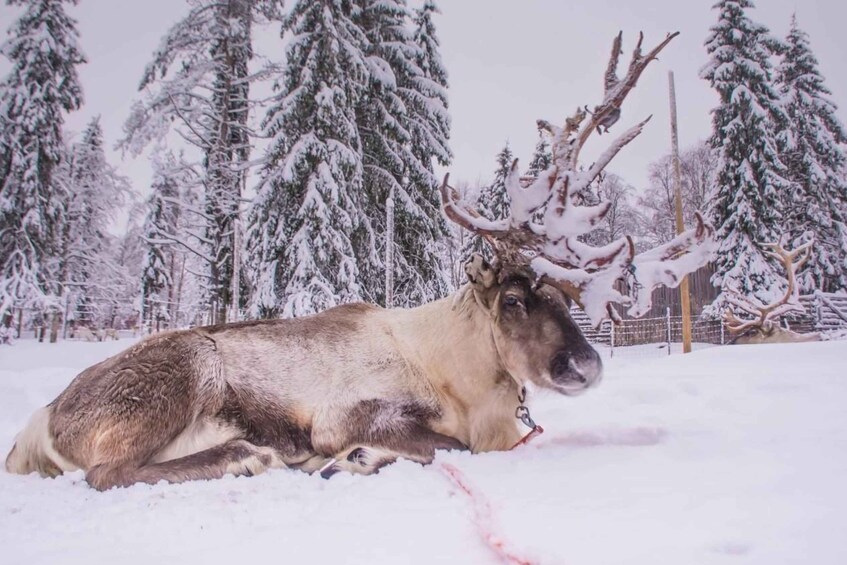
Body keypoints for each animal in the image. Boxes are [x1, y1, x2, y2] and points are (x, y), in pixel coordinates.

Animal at [5, 32, 715, 490]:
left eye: (567, 298)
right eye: (514, 299)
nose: (586, 365)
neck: (461, 380)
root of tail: (43, 421)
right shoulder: (355, 412)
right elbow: (445, 446)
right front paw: (351, 459)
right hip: (185, 369)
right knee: (108, 472)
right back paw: (244, 457)